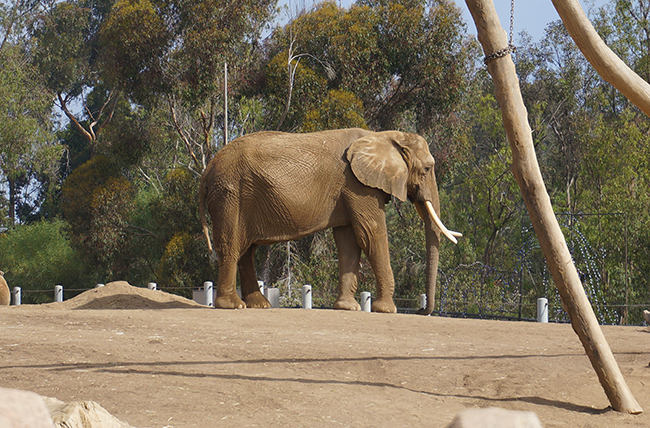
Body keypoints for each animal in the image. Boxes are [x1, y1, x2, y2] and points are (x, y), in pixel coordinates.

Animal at [200, 129, 458, 312]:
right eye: (428, 168)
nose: (422, 310)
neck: (384, 136)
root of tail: (208, 167)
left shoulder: (350, 189)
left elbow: (348, 241)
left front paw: (347, 308)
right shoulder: (359, 185)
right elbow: (370, 232)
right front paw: (387, 310)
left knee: (247, 251)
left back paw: (259, 305)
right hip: (229, 194)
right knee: (232, 245)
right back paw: (233, 305)